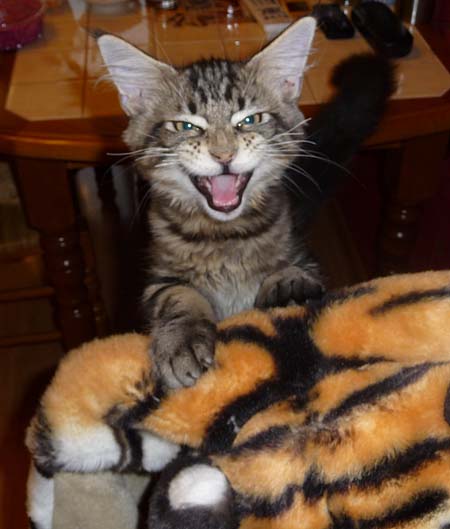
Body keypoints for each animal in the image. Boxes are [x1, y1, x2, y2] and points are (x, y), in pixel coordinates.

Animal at [97, 16, 395, 390]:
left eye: (250, 120)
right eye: (185, 126)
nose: (224, 154)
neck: (226, 235)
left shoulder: (305, 257)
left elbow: (295, 272)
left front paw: (288, 286)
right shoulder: (159, 279)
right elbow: (179, 298)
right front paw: (181, 341)